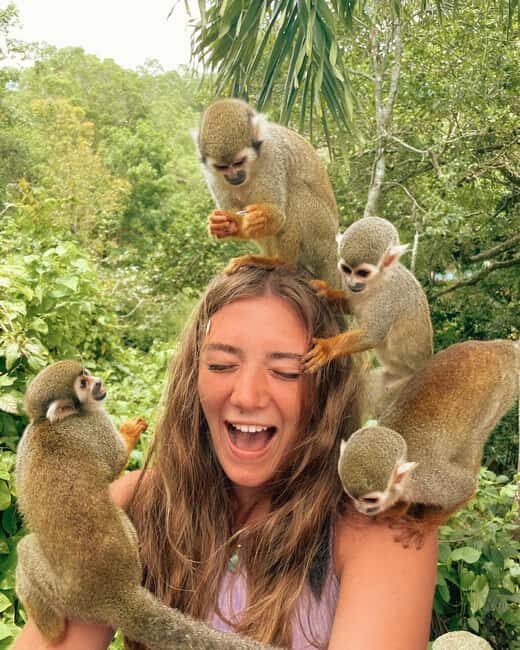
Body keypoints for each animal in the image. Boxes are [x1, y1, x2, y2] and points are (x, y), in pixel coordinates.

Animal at [15, 360, 276, 650]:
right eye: (83, 384)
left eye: (87, 374)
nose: (98, 383)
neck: (45, 423)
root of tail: (115, 594)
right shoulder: (92, 424)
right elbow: (115, 462)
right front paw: (130, 432)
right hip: (66, 592)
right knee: (24, 548)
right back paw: (53, 632)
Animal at [197, 98, 342, 289]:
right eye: (222, 167)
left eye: (239, 162)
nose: (234, 176)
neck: (251, 167)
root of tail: (333, 250)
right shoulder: (211, 175)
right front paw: (222, 224)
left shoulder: (272, 157)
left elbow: (278, 216)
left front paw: (261, 218)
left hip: (322, 235)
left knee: (296, 191)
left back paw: (281, 262)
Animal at [303, 216, 433, 416]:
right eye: (346, 269)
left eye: (362, 273)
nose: (352, 283)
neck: (378, 281)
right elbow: (349, 305)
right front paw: (325, 292)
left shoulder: (389, 297)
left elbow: (373, 335)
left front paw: (327, 348)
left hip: (409, 387)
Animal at [337, 340, 519, 525]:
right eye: (351, 496)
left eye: (370, 500)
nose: (361, 509)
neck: (408, 480)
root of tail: (501, 348)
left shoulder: (428, 482)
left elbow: (467, 487)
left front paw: (423, 524)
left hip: (502, 391)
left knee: (475, 439)